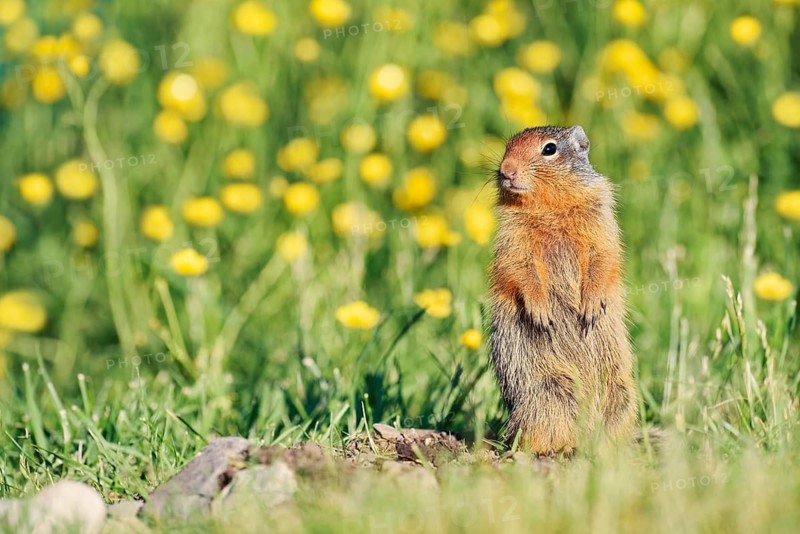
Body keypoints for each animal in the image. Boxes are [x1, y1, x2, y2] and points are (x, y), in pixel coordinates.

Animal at [488, 125, 638, 455]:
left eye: (549, 149)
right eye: (507, 147)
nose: (506, 171)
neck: (549, 206)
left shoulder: (600, 218)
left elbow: (603, 257)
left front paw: (592, 306)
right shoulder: (513, 237)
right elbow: (520, 269)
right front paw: (541, 313)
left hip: (621, 393)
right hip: (547, 392)